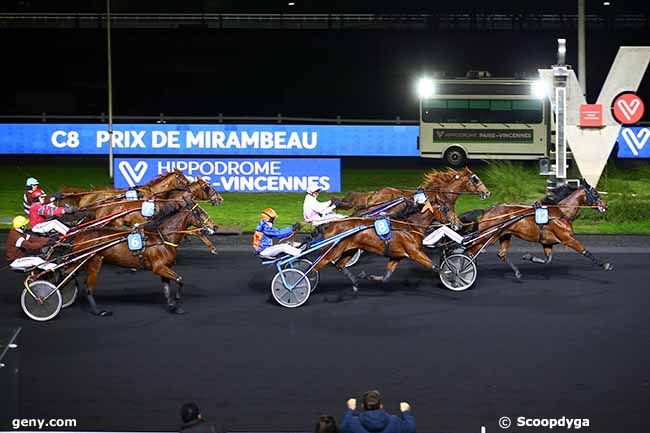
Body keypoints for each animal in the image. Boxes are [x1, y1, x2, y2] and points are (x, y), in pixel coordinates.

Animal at [70, 197, 218, 316]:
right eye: (199, 212)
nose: (215, 226)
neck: (162, 238)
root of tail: (78, 236)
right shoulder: (158, 267)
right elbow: (180, 280)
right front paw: (176, 300)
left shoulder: (165, 267)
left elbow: (166, 289)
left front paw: (172, 306)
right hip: (94, 262)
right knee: (88, 287)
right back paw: (98, 311)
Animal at [458, 181, 612, 278]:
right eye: (595, 193)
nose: (605, 205)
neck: (561, 212)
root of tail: (486, 210)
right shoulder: (567, 238)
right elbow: (585, 251)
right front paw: (605, 265)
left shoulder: (547, 242)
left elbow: (548, 260)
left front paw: (528, 256)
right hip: (487, 236)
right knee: (469, 251)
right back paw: (463, 270)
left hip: (504, 235)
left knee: (501, 254)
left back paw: (517, 273)